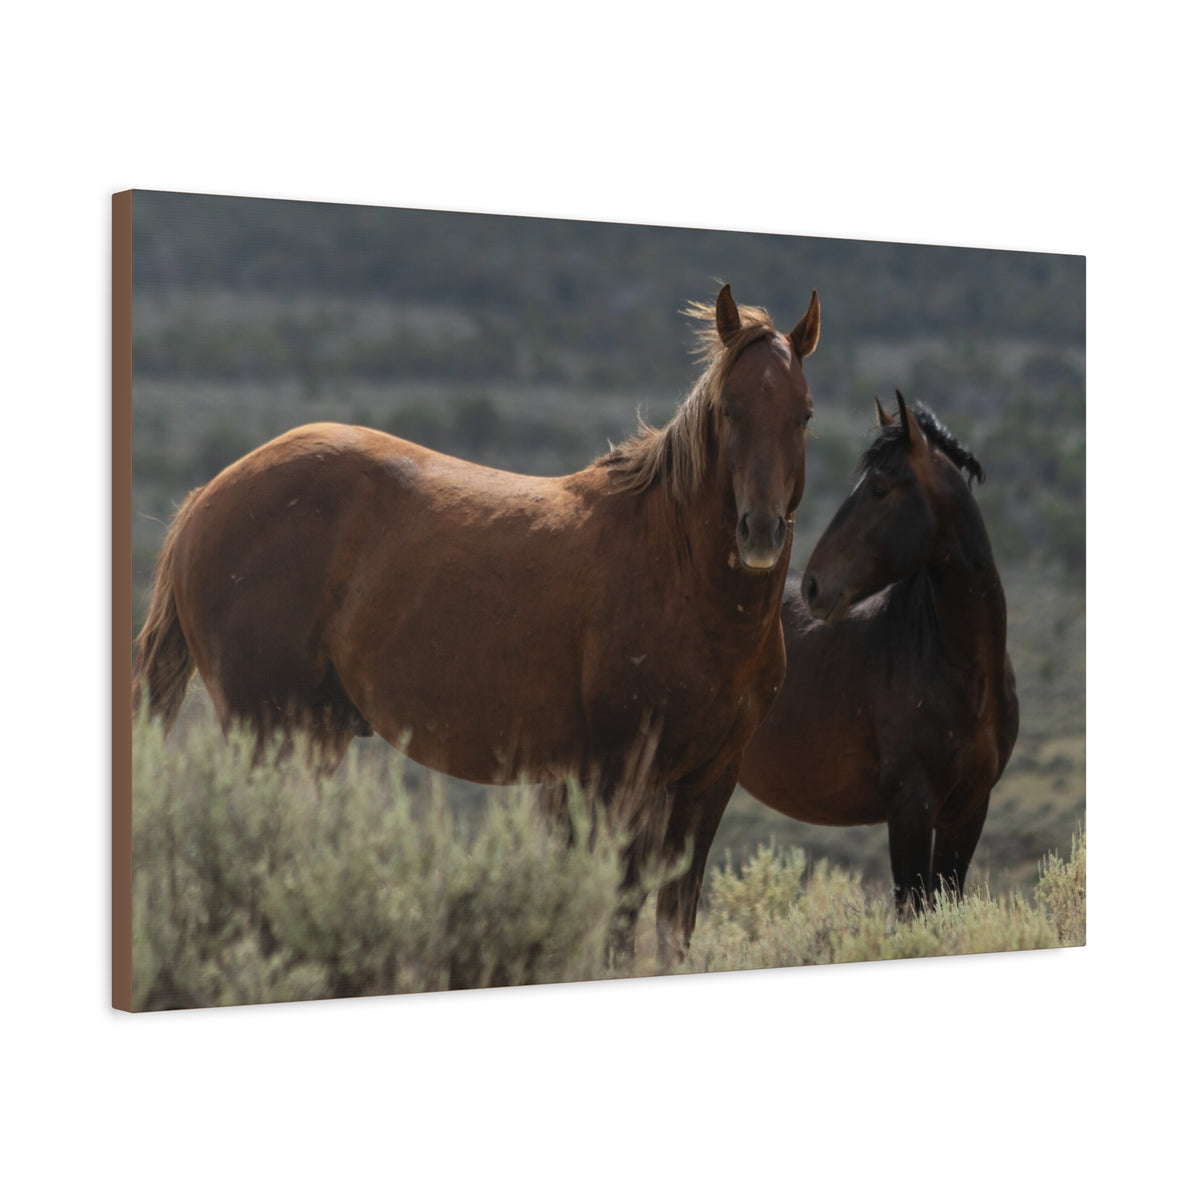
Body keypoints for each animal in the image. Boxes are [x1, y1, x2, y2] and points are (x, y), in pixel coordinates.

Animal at [132, 283, 821, 962]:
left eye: (804, 414)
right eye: (728, 410)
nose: (760, 532)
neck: (679, 571)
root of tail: (206, 497)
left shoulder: (708, 780)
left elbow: (673, 928)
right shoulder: (622, 772)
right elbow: (619, 922)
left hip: (312, 735)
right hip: (266, 730)